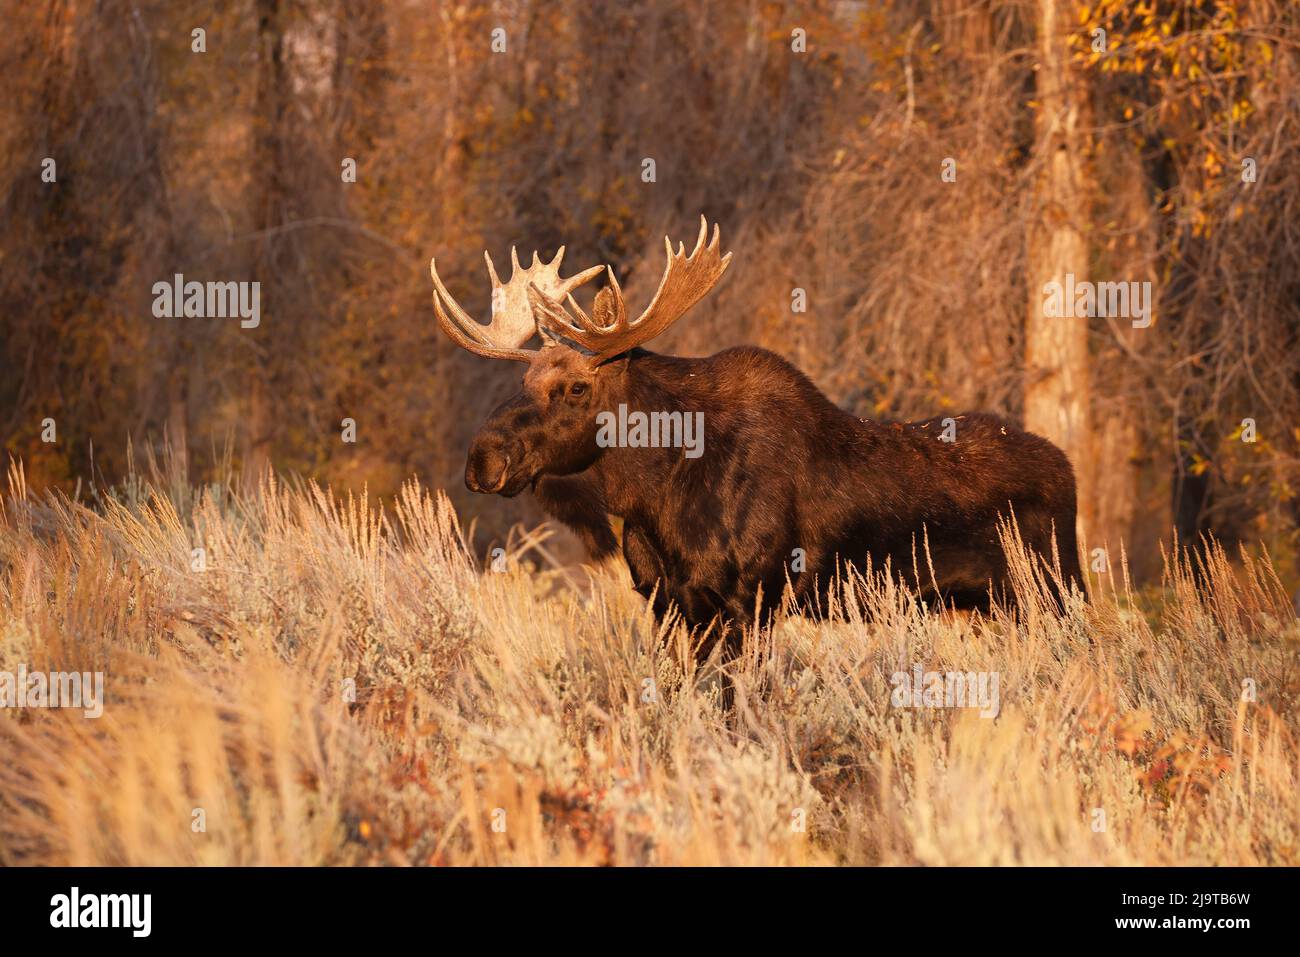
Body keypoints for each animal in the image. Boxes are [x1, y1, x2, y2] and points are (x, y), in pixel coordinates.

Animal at [431, 218, 1081, 642]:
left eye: (574, 389)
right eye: (523, 380)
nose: (482, 460)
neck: (658, 497)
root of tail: (1068, 470)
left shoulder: (752, 600)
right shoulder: (668, 603)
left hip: (1054, 592)